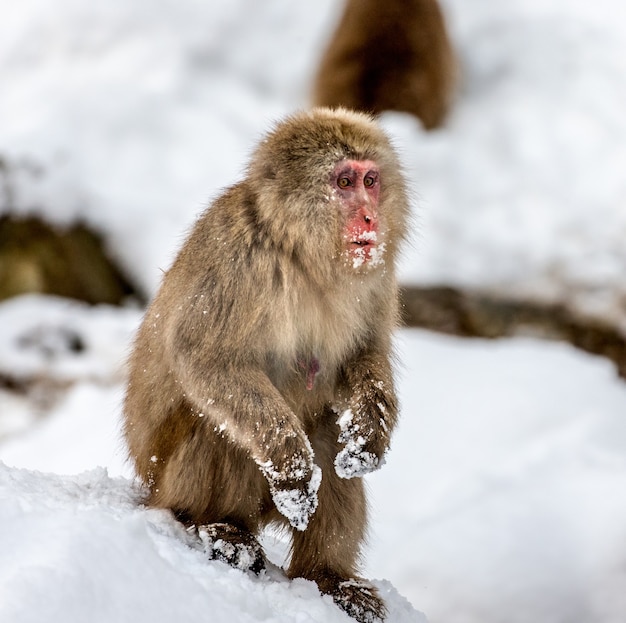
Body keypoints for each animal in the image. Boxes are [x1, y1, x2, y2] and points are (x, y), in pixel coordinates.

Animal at [123, 108, 410, 623]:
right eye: (344, 181)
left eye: (371, 180)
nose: (370, 217)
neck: (301, 254)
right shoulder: (238, 258)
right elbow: (206, 359)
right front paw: (293, 468)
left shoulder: (377, 277)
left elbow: (364, 354)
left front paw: (370, 431)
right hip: (170, 483)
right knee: (218, 426)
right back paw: (223, 529)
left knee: (328, 439)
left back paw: (327, 576)